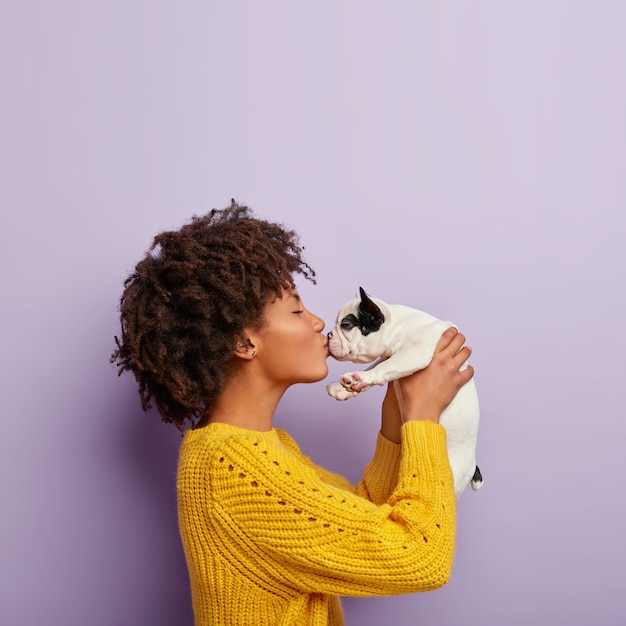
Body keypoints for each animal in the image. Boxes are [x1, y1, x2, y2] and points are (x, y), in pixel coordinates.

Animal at [326, 288, 482, 498]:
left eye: (346, 325)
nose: (328, 334)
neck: (398, 326)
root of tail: (473, 467)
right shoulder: (392, 355)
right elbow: (379, 366)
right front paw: (345, 387)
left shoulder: (415, 353)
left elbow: (383, 367)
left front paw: (359, 378)